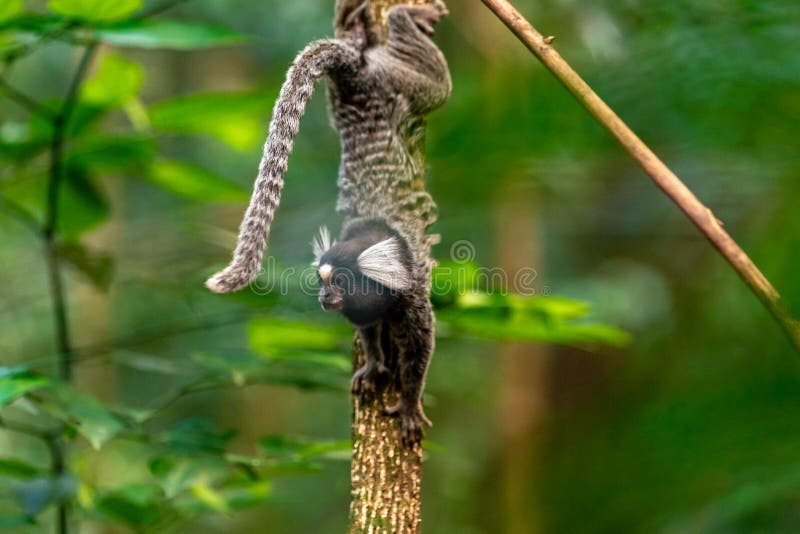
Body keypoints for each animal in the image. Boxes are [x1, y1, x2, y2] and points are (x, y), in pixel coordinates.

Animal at [206, 0, 450, 444]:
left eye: (338, 281)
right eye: (320, 282)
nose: (323, 298)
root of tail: (358, 73)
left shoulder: (410, 295)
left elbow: (420, 350)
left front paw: (409, 402)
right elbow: (370, 333)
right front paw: (374, 362)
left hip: (400, 84)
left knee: (439, 85)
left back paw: (403, 18)